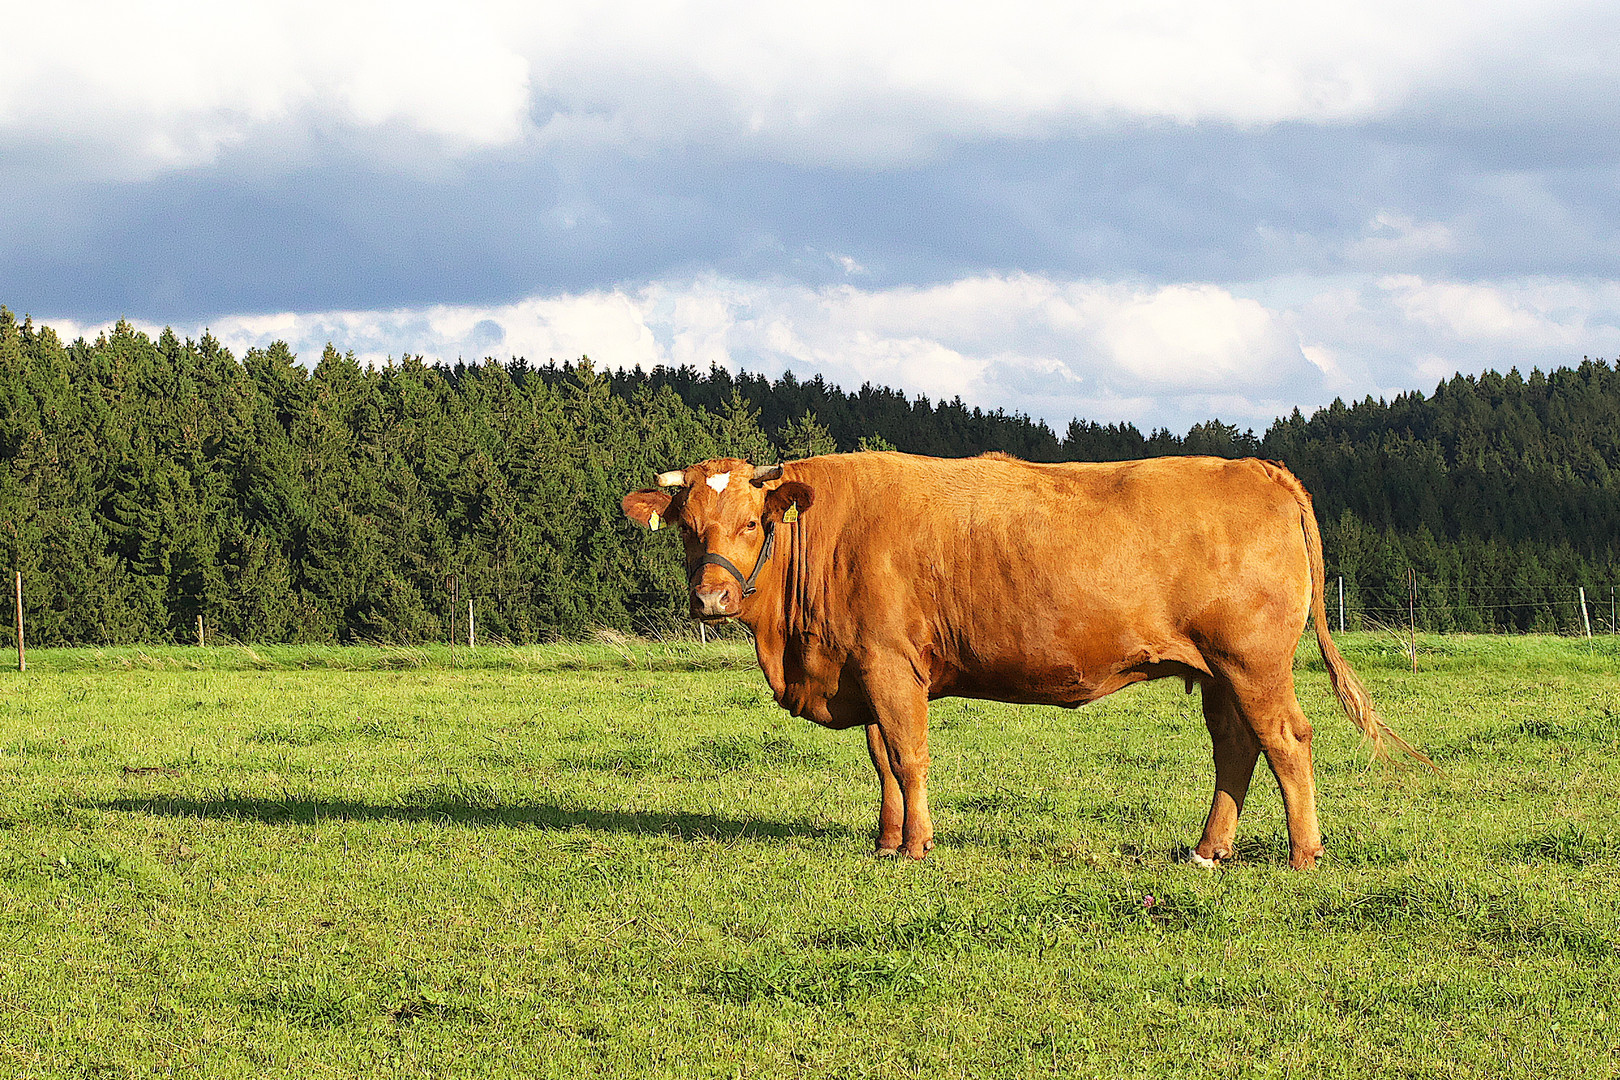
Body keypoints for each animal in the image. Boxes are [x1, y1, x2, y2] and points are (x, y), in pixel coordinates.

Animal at [622, 450, 1432, 867]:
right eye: (688, 527)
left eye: (750, 522)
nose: (709, 601)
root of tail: (1256, 466)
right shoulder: (865, 670)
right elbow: (884, 762)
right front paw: (886, 843)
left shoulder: (891, 665)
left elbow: (909, 757)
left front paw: (916, 848)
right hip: (1217, 673)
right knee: (1237, 749)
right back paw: (1208, 850)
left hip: (1253, 662)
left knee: (1287, 741)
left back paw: (1303, 855)